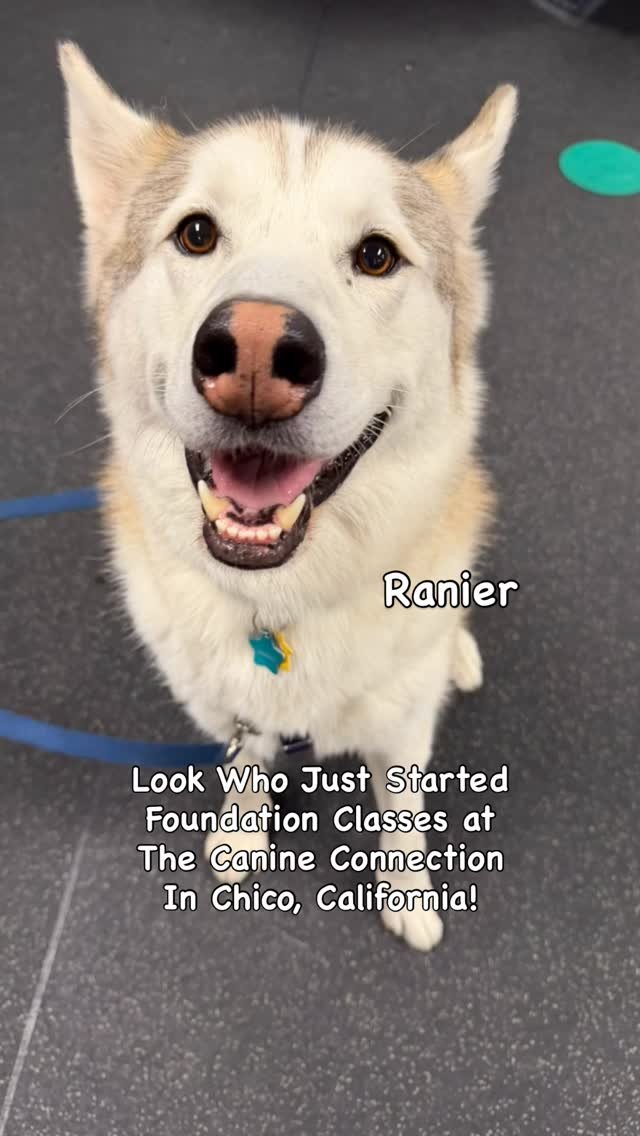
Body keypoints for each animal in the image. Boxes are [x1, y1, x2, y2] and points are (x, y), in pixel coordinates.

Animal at [59, 42, 516, 950]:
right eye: (197, 233)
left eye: (376, 255)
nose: (257, 350)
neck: (281, 605)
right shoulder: (235, 713)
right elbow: (247, 767)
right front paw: (242, 834)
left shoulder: (401, 732)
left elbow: (401, 813)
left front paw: (408, 895)